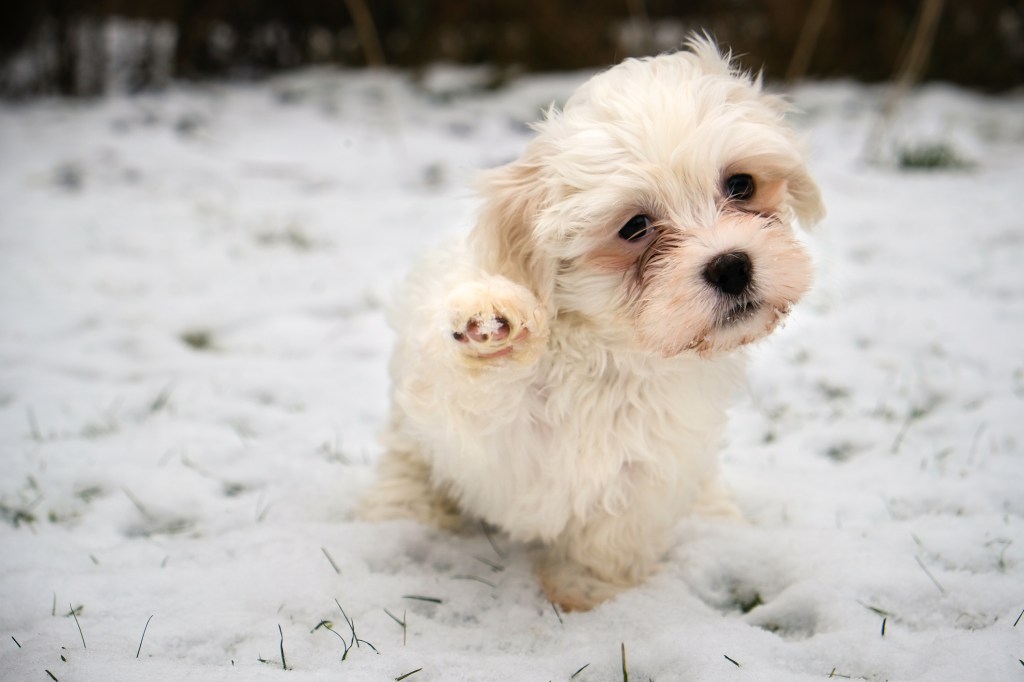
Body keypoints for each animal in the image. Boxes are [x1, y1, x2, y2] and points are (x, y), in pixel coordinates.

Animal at [360, 37, 823, 610]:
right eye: (635, 226)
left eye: (741, 184)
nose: (732, 266)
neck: (609, 349)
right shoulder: (477, 435)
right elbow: (480, 408)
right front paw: (494, 323)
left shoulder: (652, 463)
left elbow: (613, 531)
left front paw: (587, 591)